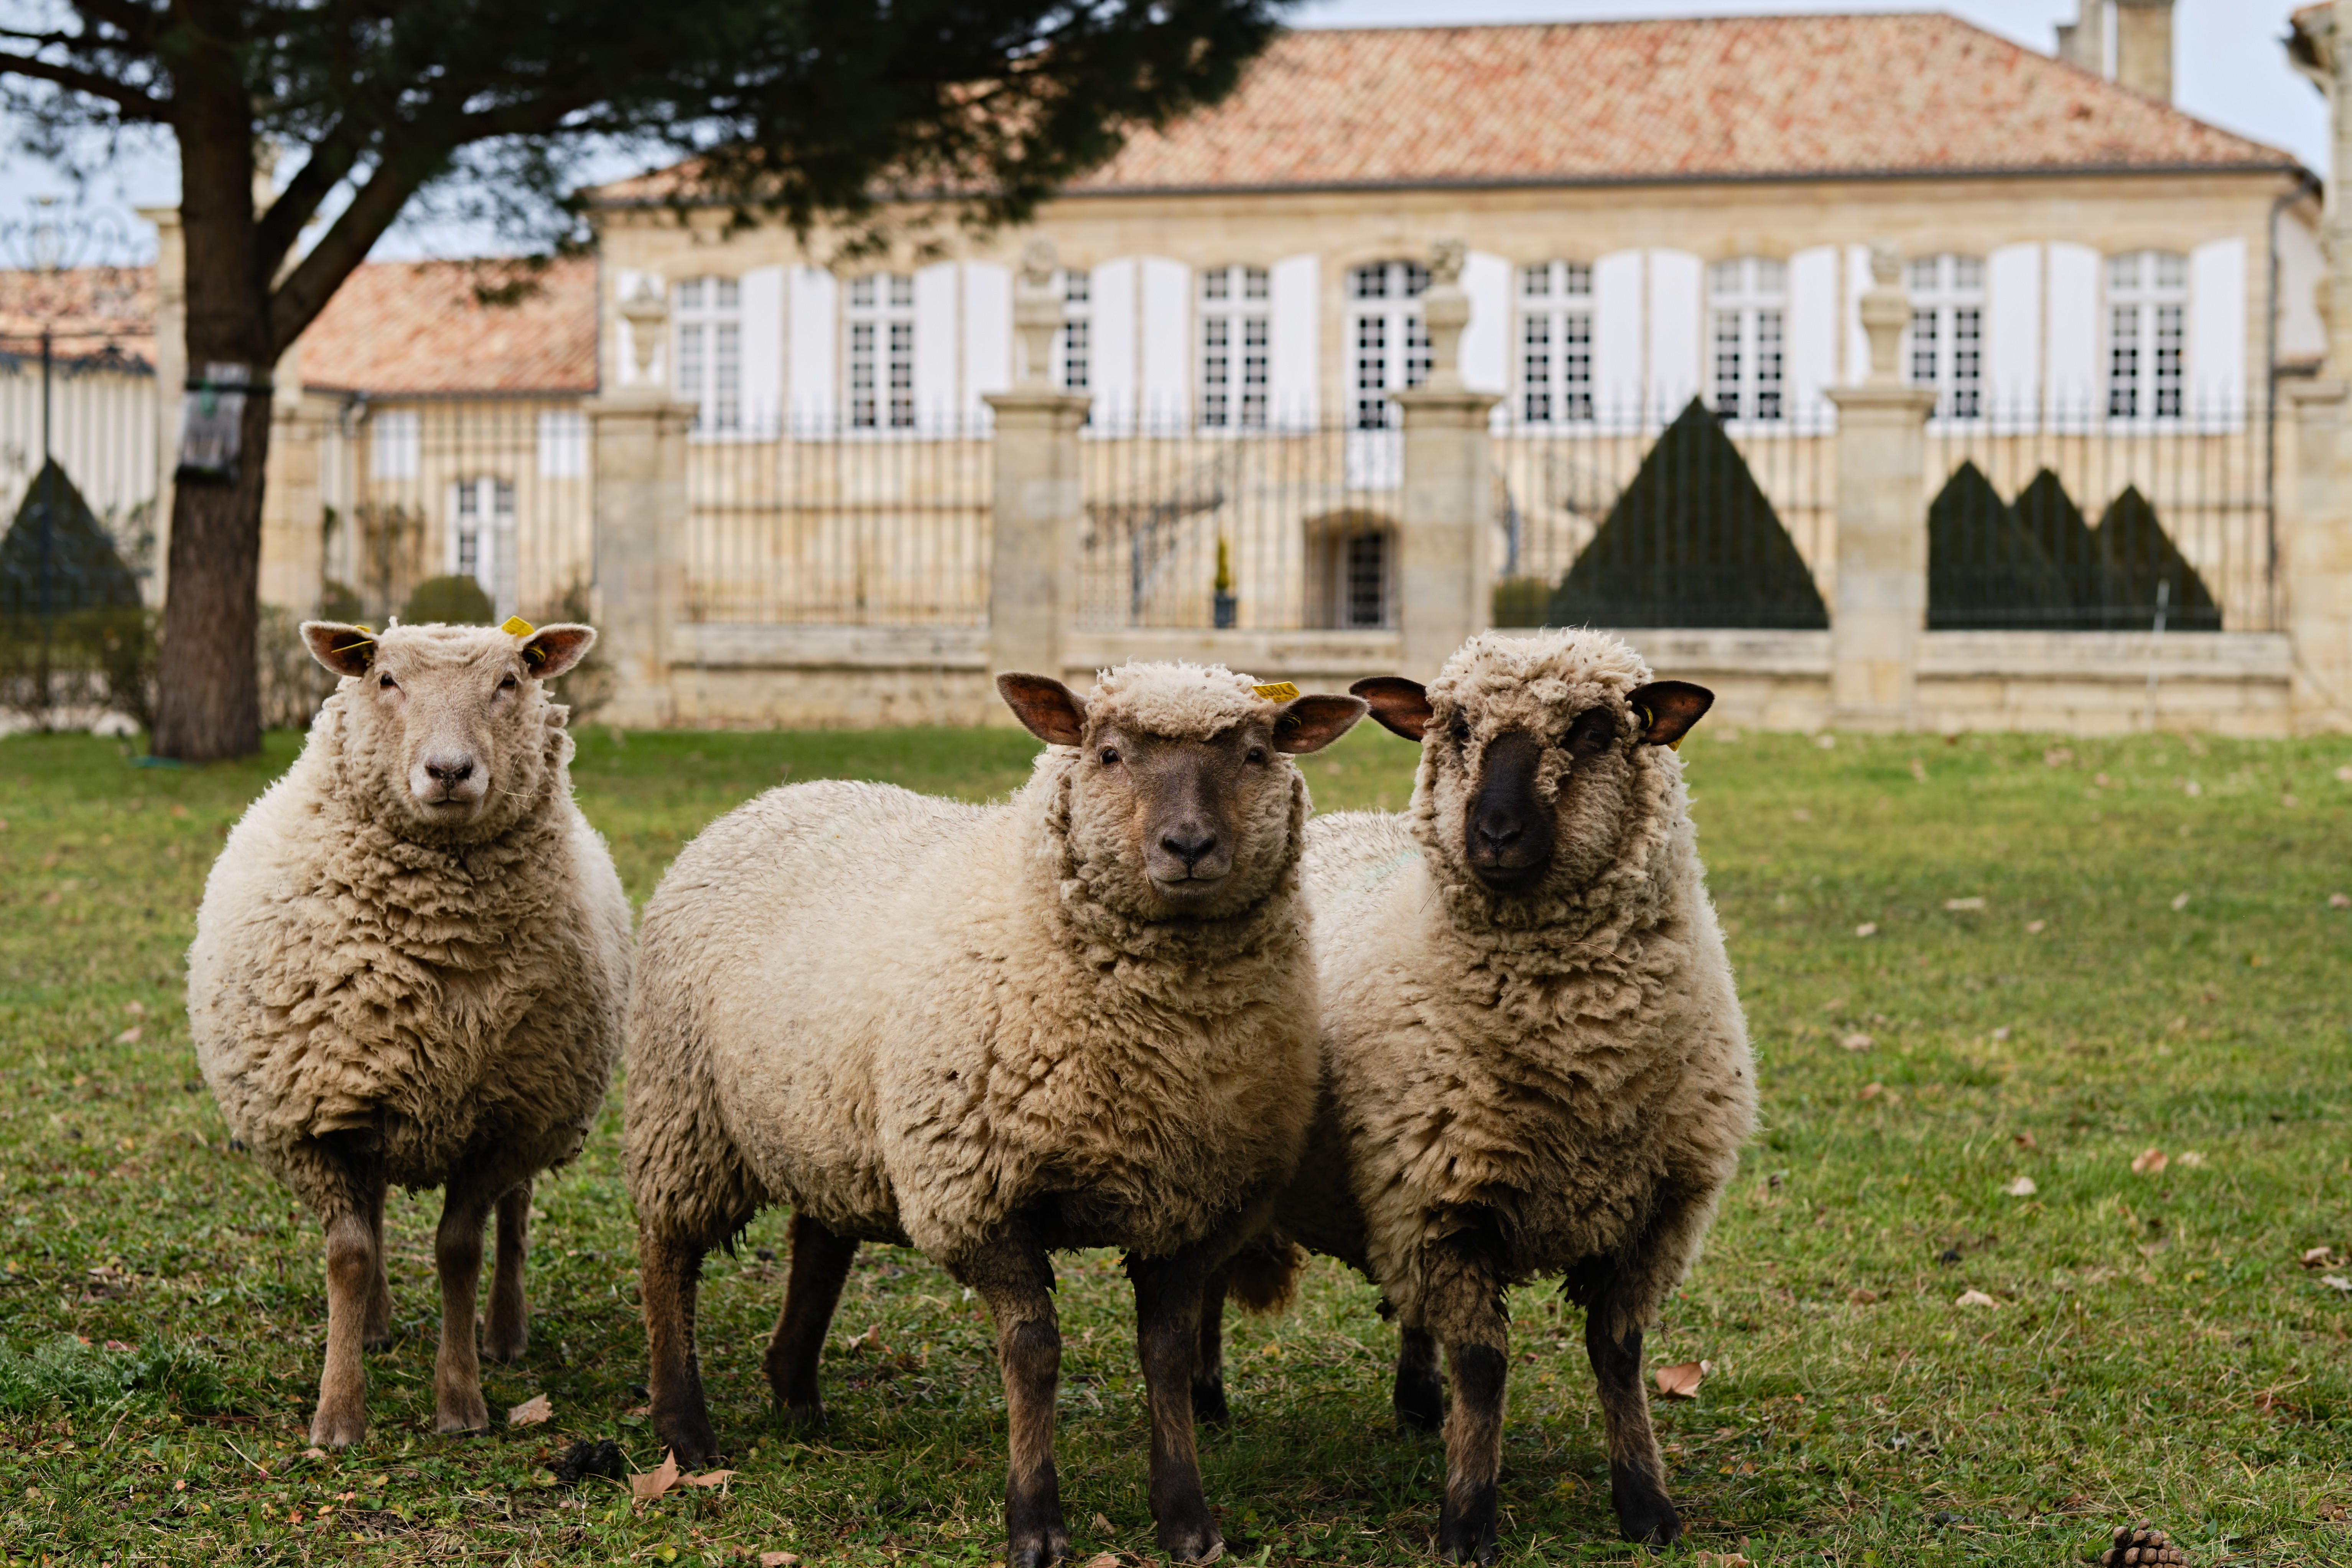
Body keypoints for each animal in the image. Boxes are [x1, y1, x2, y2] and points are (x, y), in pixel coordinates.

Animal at [190, 620, 635, 1457]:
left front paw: (460, 1398)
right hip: (373, 1098)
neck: (438, 947)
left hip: (535, 1100)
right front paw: (338, 1411)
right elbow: (349, 1252)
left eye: (510, 681)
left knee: (516, 1212)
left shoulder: (500, 1121)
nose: (450, 771)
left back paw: (505, 1330)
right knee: (371, 1212)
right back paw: (373, 1323)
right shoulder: (320, 1113)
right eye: (386, 678)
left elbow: (461, 1249)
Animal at [616, 668, 1373, 1568]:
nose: (1187, 846)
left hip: (829, 1121)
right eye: (1108, 753)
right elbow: (1032, 1351)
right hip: (683, 1106)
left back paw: (797, 1397)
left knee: (818, 1241)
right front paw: (1035, 1520)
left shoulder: (1190, 1202)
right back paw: (684, 1428)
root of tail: (774, 795)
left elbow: (1165, 1353)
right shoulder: (977, 1190)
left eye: (1256, 753)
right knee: (668, 1254)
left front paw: (1186, 1518)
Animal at [1204, 630, 1759, 1561]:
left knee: (1407, 1308)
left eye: (1594, 730)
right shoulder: (1444, 1203)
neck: (1579, 1059)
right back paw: (1205, 1403)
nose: (1493, 834)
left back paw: (1415, 1404)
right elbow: (1484, 1365)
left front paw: (1646, 1505)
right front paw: (1467, 1518)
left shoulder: (1648, 1214)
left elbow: (1618, 1355)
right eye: (1456, 725)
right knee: (1202, 1285)